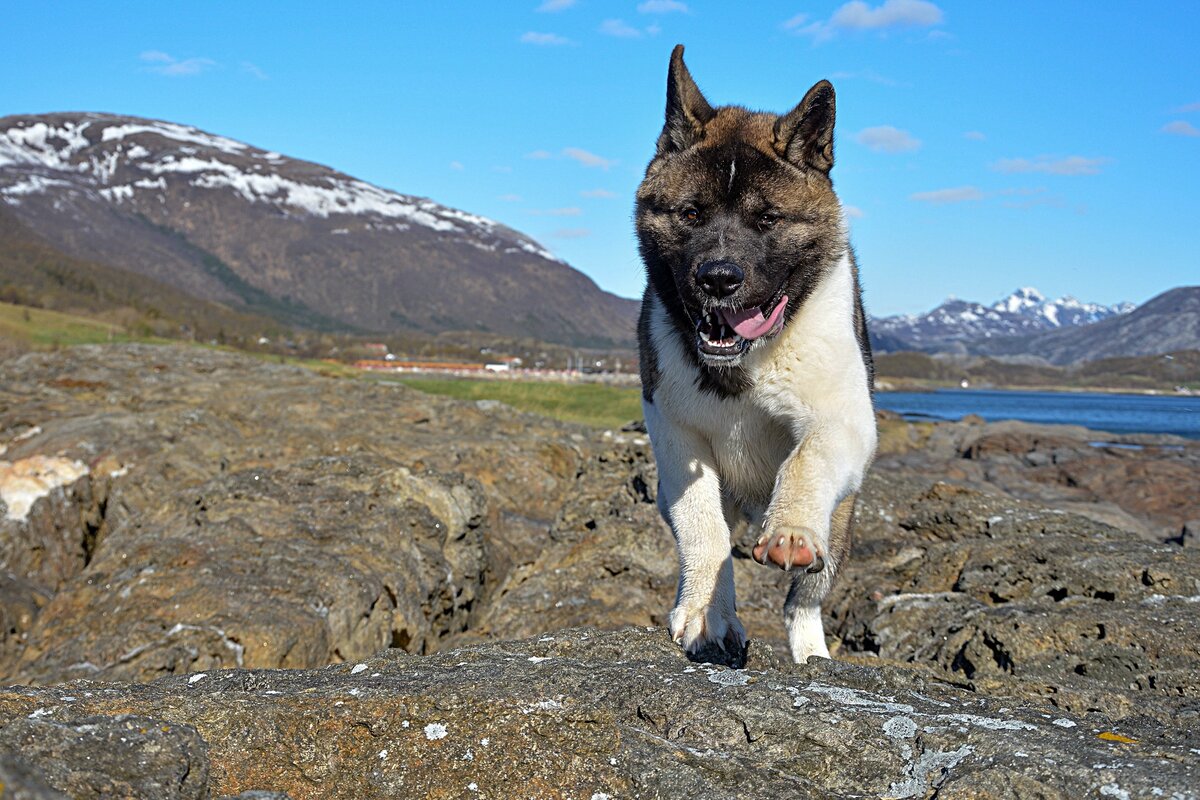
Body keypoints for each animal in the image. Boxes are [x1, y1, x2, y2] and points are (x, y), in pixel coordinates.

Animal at [633, 47, 878, 666]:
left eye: (768, 219)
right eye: (690, 214)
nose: (718, 278)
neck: (747, 359)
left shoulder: (843, 420)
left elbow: (807, 457)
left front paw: (791, 530)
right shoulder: (677, 440)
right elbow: (703, 529)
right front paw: (706, 611)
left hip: (842, 524)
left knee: (803, 599)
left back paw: (812, 651)